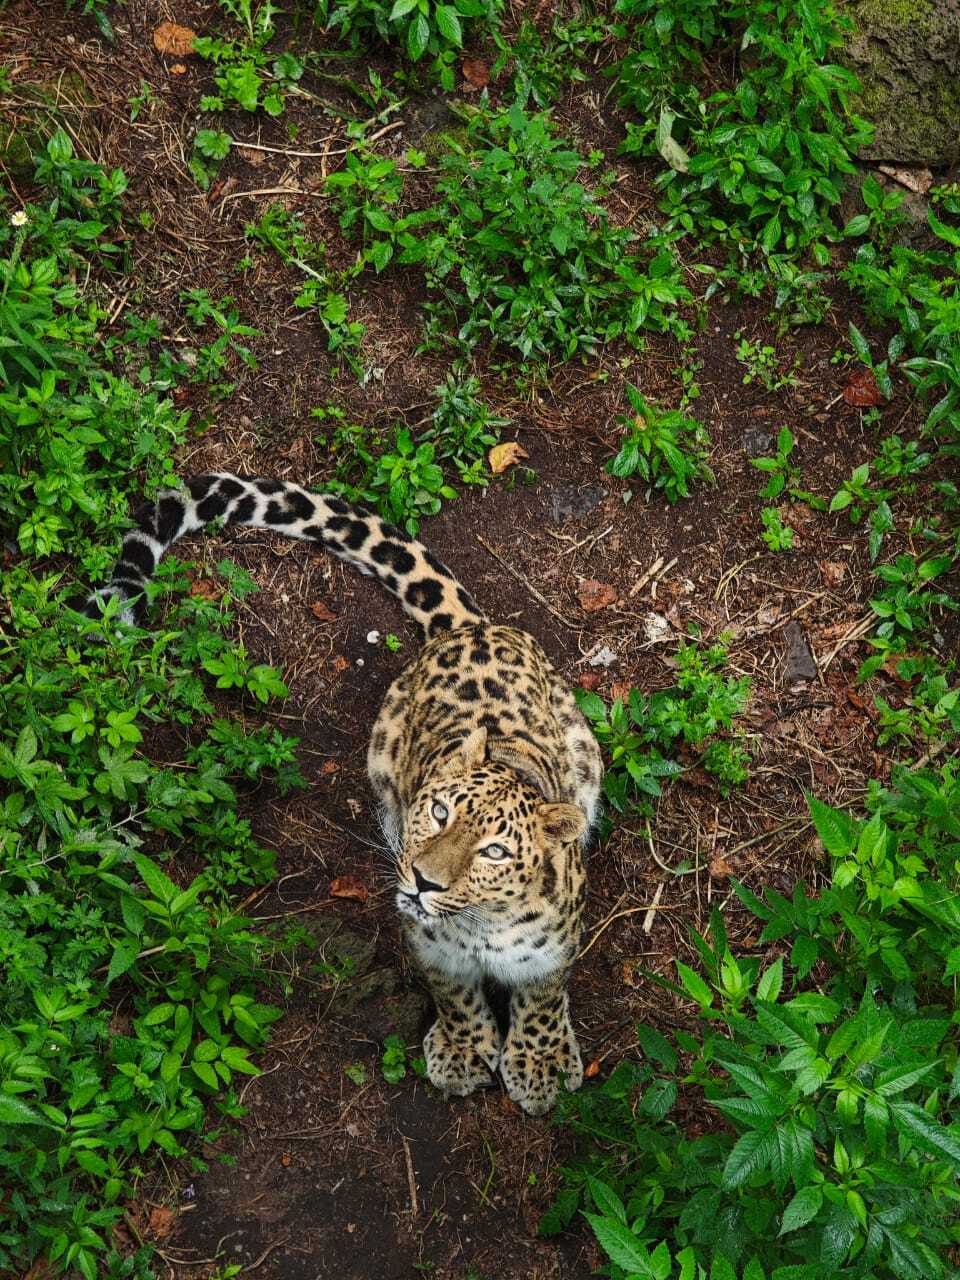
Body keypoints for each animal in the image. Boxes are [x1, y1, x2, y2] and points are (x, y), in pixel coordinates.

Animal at [86, 472, 603, 1115]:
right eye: (438, 812)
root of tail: (469, 628)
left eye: (494, 852)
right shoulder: (431, 945)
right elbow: (454, 993)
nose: (424, 881)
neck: (482, 925)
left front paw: (541, 1064)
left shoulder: (553, 950)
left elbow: (543, 997)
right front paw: (461, 1053)